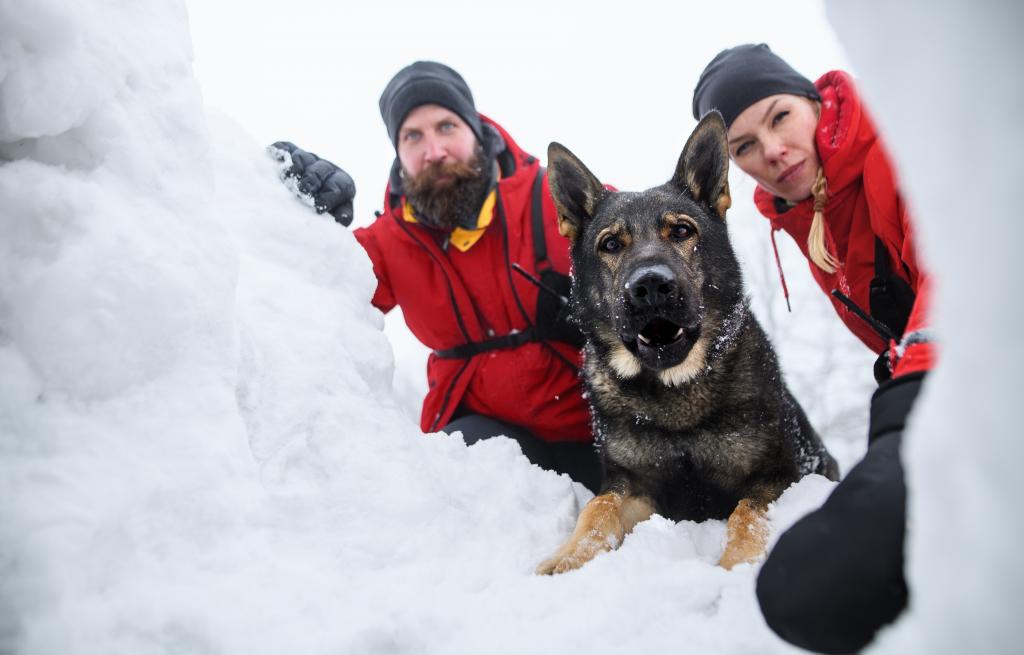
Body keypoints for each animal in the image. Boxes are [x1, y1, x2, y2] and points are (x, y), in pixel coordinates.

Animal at [532, 112, 835, 573]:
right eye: (610, 244)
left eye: (680, 231)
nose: (650, 287)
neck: (674, 392)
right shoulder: (634, 483)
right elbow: (598, 508)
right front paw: (569, 556)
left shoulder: (778, 477)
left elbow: (746, 514)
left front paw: (734, 568)